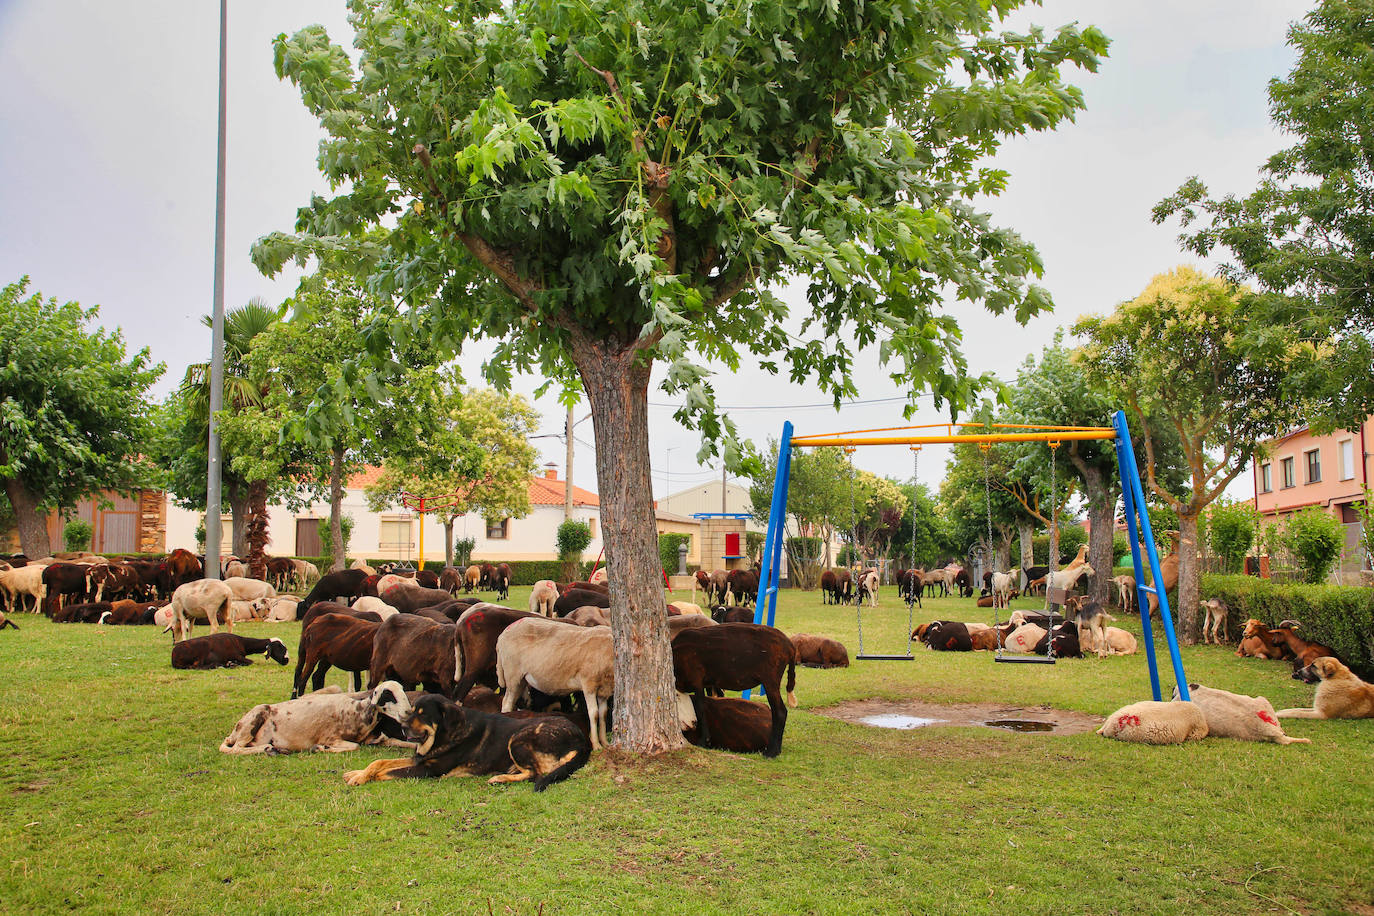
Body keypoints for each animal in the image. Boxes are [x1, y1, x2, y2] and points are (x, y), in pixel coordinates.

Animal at [343, 694, 590, 791]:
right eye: (412, 711)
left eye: (423, 715)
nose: (402, 728)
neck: (447, 733)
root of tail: (582, 739)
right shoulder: (419, 758)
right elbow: (380, 763)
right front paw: (357, 773)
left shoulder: (427, 769)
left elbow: (388, 772)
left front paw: (364, 778)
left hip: (518, 737)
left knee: (536, 774)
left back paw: (499, 778)